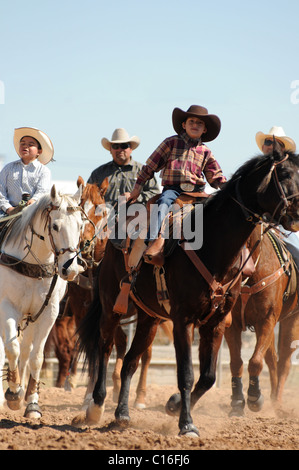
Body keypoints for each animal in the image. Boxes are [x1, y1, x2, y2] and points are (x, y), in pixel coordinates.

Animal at [0, 185, 85, 418]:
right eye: (55, 226)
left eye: (80, 225)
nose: (70, 269)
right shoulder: (7, 308)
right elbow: (12, 349)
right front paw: (13, 394)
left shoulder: (48, 313)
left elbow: (35, 357)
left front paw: (31, 403)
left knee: (26, 350)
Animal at [225, 226, 299, 416]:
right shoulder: (232, 324)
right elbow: (236, 362)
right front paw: (237, 402)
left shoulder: (266, 320)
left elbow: (255, 362)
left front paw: (254, 397)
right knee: (272, 359)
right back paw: (272, 399)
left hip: (291, 320)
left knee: (284, 362)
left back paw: (278, 403)